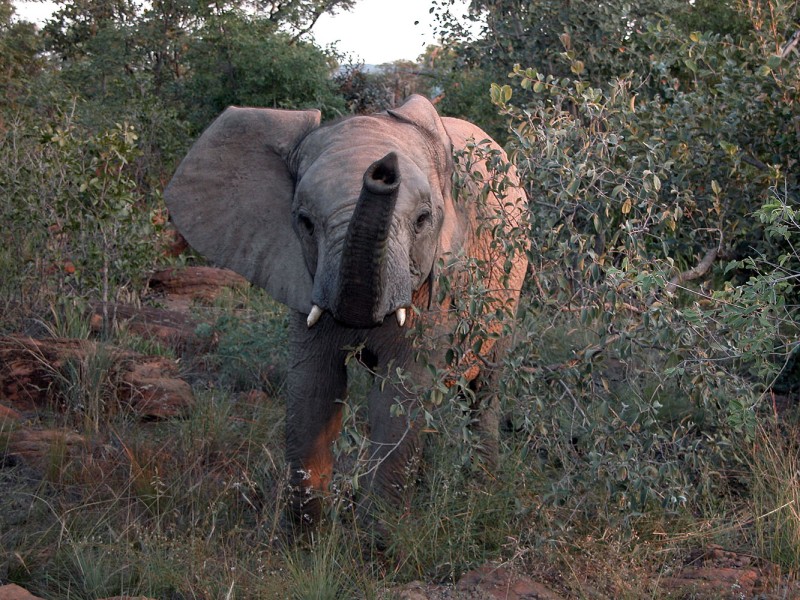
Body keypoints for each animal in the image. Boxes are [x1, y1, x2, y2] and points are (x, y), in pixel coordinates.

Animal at [164, 94, 528, 531]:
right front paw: (305, 539)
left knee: (483, 390)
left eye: (423, 220)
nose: (383, 170)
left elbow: (400, 393)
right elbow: (313, 388)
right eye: (304, 222)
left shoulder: (434, 288)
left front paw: (379, 540)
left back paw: (482, 491)